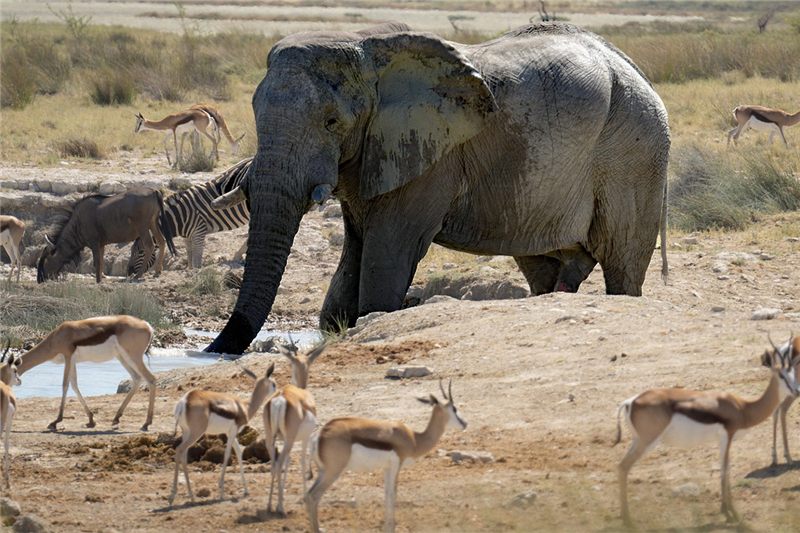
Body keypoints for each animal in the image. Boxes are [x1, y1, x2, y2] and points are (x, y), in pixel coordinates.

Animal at [206, 22, 670, 355]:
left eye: (332, 122)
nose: (212, 353)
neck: (368, 49)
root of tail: (635, 69)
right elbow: (352, 259)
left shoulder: (430, 157)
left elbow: (390, 251)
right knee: (544, 265)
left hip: (635, 149)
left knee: (622, 265)